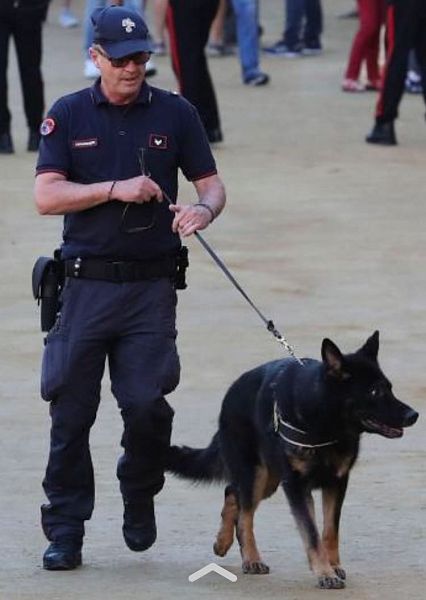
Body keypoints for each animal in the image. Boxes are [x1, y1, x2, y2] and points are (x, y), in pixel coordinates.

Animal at [167, 331, 418, 589]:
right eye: (374, 391)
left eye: (390, 388)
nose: (414, 415)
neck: (324, 422)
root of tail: (231, 393)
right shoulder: (297, 487)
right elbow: (311, 532)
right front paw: (324, 572)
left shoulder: (336, 484)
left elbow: (330, 530)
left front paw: (333, 565)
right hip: (257, 476)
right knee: (245, 515)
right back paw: (251, 558)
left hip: (268, 481)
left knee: (232, 492)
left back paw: (223, 541)